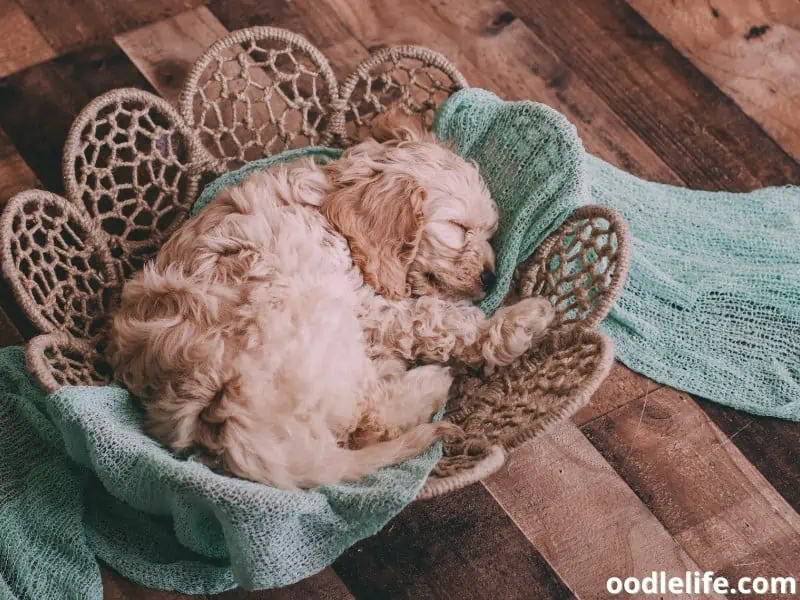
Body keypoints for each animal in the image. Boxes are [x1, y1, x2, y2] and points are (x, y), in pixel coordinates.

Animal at [108, 109, 556, 488]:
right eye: (457, 227)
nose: (491, 278)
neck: (328, 211)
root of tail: (227, 424)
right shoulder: (371, 308)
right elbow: (438, 318)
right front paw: (513, 323)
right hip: (319, 317)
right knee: (370, 416)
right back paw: (433, 381)